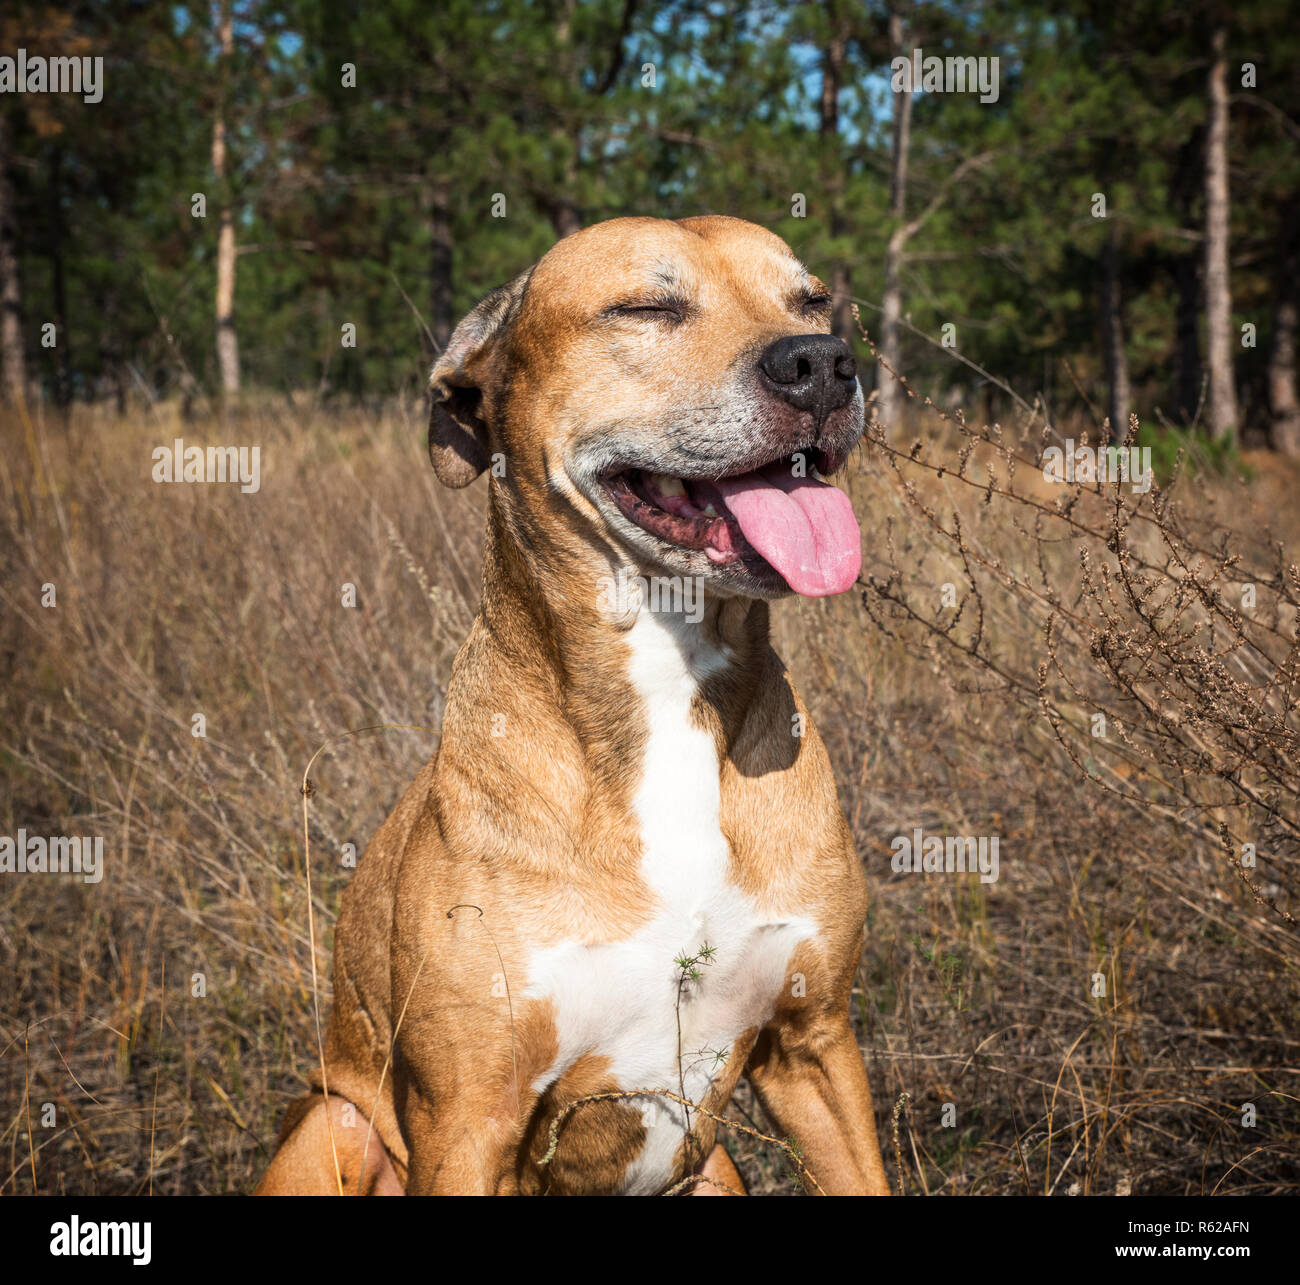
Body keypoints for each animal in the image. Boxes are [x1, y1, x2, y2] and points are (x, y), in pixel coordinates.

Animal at [260, 213, 899, 1196]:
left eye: (811, 300)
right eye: (643, 308)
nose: (824, 363)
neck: (671, 690)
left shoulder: (815, 1045)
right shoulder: (467, 1119)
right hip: (336, 1123)